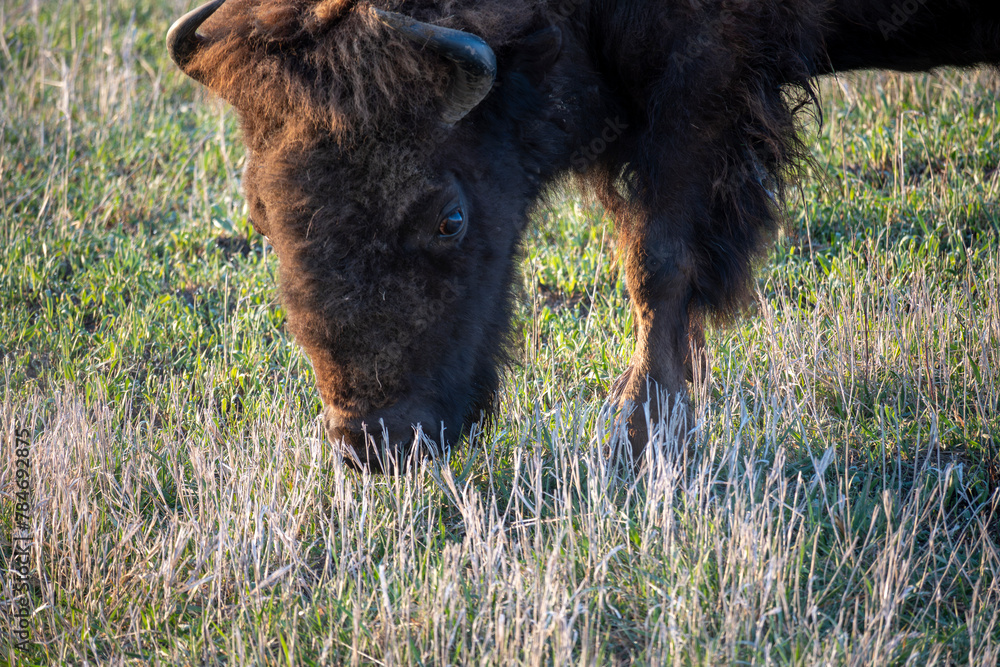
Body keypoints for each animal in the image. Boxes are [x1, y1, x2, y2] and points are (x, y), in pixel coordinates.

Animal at [168, 0, 1000, 471]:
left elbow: (658, 263)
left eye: (450, 216)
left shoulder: (703, 83)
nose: (372, 444)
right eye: (259, 212)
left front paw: (636, 437)